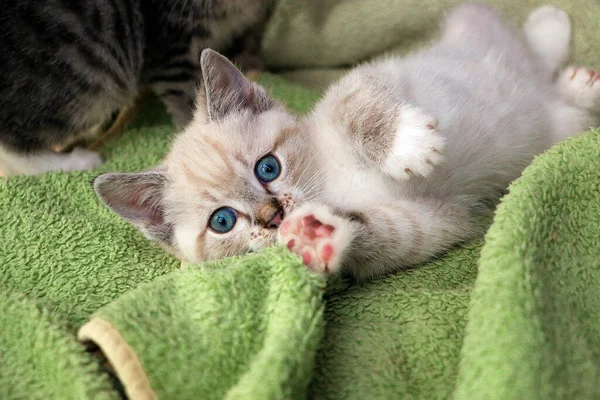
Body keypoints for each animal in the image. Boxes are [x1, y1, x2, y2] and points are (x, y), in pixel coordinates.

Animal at [0, 0, 268, 175]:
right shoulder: (169, 44)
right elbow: (186, 95)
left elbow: (249, 43)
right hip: (79, 75)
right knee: (13, 145)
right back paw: (71, 162)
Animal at [95, 5, 600, 282]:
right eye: (223, 221)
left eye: (267, 168)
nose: (273, 215)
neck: (332, 180)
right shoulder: (438, 219)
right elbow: (390, 236)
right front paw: (319, 235)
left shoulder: (361, 81)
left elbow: (360, 111)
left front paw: (408, 147)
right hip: (559, 127)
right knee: (556, 94)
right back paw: (578, 82)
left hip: (471, 32)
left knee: (527, 51)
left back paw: (551, 27)